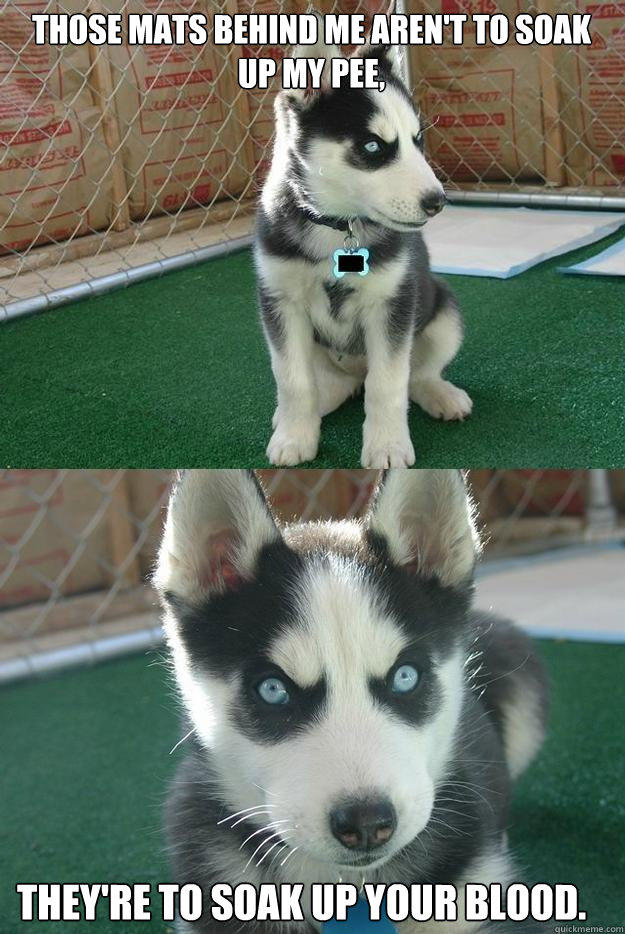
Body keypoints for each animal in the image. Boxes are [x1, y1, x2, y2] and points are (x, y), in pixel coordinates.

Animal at [254, 3, 468, 464]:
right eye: (373, 147)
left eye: (417, 140)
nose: (437, 202)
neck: (339, 226)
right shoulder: (280, 302)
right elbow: (292, 379)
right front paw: (295, 436)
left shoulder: (392, 305)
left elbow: (387, 384)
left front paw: (387, 445)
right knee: (330, 385)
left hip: (444, 311)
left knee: (413, 375)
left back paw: (440, 394)